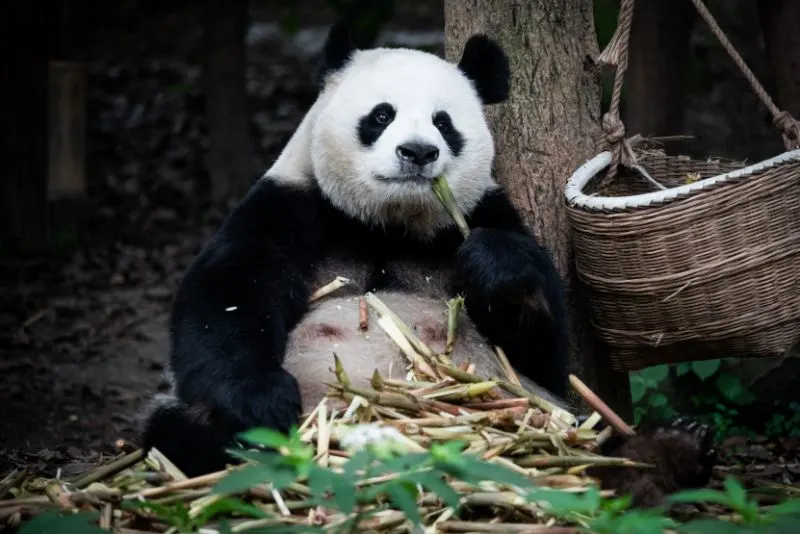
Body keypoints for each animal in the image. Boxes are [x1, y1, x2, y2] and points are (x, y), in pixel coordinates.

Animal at [139, 18, 720, 508]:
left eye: (445, 123)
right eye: (381, 115)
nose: (418, 152)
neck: (387, 222)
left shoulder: (486, 213)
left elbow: (542, 354)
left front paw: (495, 266)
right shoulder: (290, 207)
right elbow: (225, 299)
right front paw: (263, 399)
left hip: (543, 420)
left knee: (582, 443)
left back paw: (668, 449)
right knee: (183, 436)